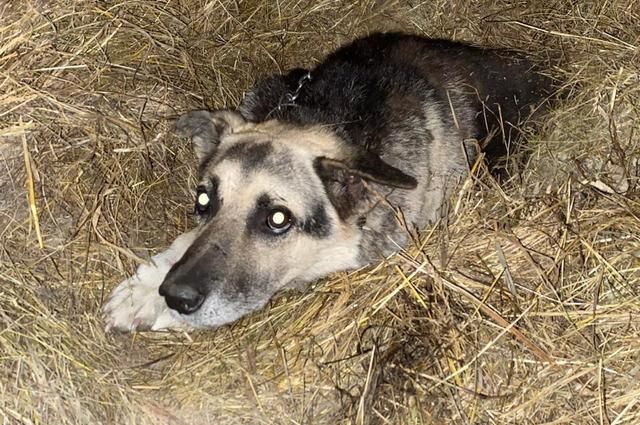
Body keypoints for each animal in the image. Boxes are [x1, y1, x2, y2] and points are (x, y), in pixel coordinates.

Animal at [102, 33, 552, 332]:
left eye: (278, 219)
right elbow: (185, 241)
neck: (326, 116)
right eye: (202, 200)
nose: (175, 296)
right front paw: (145, 287)